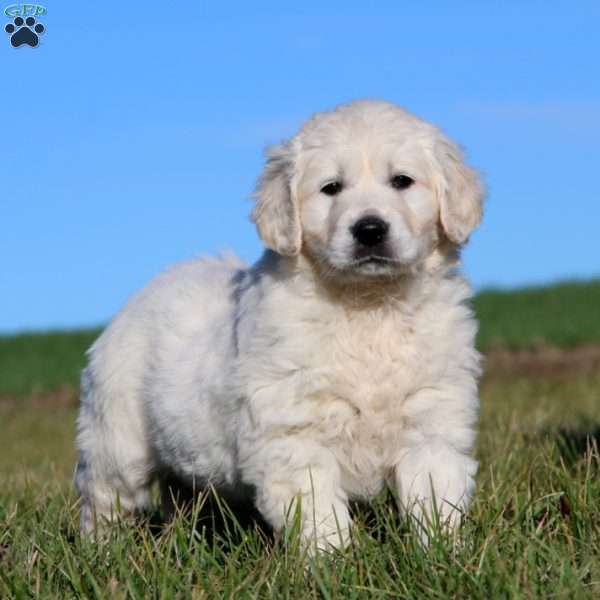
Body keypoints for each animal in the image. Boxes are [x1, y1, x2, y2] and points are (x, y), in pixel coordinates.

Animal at [77, 98, 486, 548]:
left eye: (402, 181)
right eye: (331, 188)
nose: (369, 229)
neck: (368, 304)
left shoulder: (432, 419)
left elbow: (435, 495)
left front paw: (445, 552)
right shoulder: (294, 433)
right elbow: (320, 513)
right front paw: (333, 559)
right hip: (117, 435)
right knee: (104, 498)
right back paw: (102, 551)